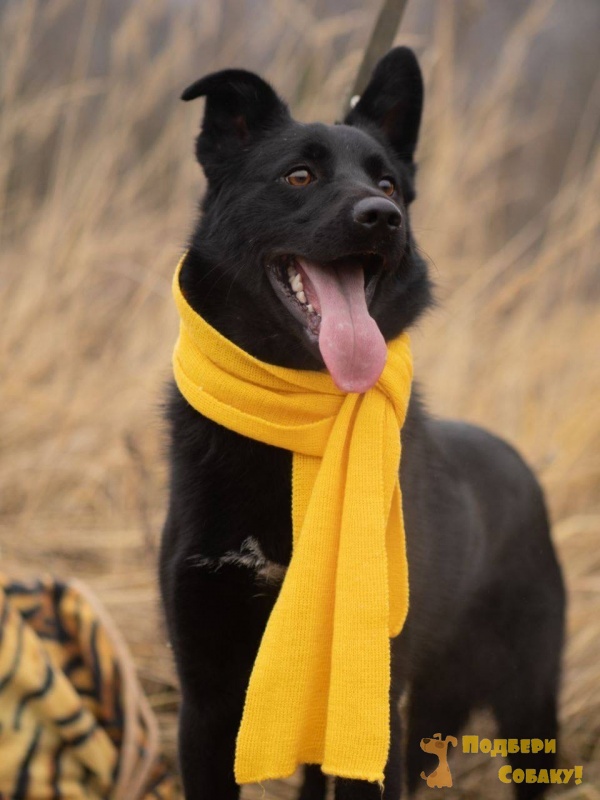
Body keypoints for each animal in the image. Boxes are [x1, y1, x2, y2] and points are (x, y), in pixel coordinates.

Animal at [159, 47, 565, 799]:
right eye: (299, 175)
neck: (294, 424)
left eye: (388, 183)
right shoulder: (205, 702)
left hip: (526, 703)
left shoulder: (371, 704)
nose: (383, 217)